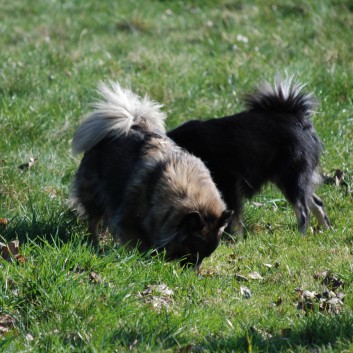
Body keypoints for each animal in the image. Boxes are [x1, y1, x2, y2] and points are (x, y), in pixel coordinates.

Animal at [168, 75, 330, 232]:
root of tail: (297, 116)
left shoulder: (229, 182)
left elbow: (232, 216)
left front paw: (232, 236)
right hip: (286, 177)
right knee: (317, 202)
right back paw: (326, 229)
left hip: (291, 176)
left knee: (303, 210)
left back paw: (300, 234)